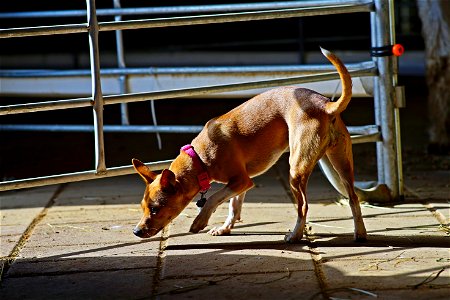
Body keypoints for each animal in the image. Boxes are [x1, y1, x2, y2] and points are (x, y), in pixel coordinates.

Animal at [130, 48, 366, 243]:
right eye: (142, 207)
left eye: (155, 209)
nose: (136, 231)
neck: (199, 159)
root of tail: (326, 106)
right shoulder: (241, 183)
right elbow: (233, 205)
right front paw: (225, 228)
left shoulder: (240, 180)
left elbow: (213, 198)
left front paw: (199, 222)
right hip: (341, 164)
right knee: (353, 198)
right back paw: (360, 234)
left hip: (296, 170)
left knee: (304, 206)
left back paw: (295, 235)